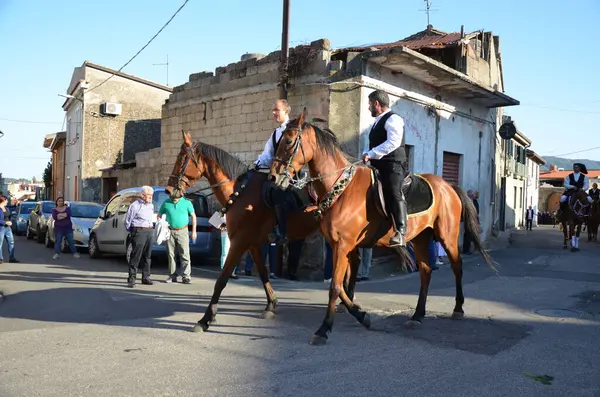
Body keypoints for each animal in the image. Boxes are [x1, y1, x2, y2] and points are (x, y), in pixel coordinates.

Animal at [165, 131, 360, 332]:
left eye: (182, 158)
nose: (169, 190)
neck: (240, 192)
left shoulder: (239, 242)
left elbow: (222, 279)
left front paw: (206, 319)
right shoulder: (252, 243)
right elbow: (263, 272)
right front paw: (271, 304)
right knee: (352, 263)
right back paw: (347, 301)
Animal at [270, 110, 494, 344]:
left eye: (288, 141)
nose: (273, 176)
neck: (341, 188)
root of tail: (448, 186)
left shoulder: (343, 245)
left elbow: (335, 287)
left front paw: (324, 328)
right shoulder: (344, 246)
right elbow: (343, 285)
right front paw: (360, 314)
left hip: (447, 237)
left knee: (457, 266)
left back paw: (458, 308)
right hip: (421, 238)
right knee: (425, 271)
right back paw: (418, 315)